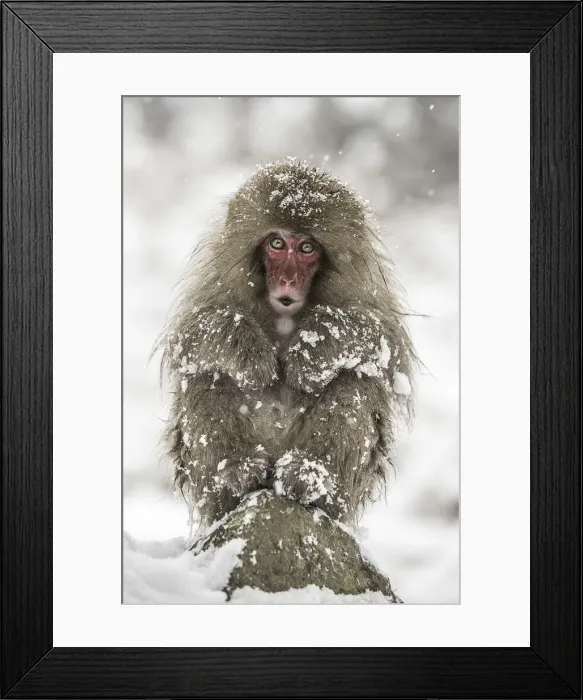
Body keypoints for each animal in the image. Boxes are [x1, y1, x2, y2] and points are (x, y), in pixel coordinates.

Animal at [159, 159, 415, 527]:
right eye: (277, 244)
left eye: (307, 248)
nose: (288, 280)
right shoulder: (217, 281)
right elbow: (194, 332)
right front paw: (250, 354)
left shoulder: (367, 291)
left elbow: (383, 339)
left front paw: (309, 354)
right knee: (208, 373)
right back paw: (236, 476)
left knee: (356, 380)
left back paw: (311, 478)